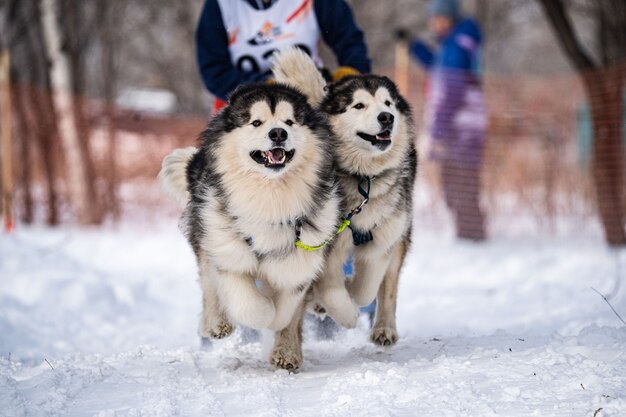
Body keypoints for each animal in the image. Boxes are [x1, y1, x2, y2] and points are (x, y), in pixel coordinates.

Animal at [158, 81, 338, 368]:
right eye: (256, 122)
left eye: (290, 121)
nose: (278, 133)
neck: (270, 195)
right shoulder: (228, 250)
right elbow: (248, 304)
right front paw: (263, 314)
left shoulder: (301, 257)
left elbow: (289, 310)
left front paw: (285, 346)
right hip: (208, 230)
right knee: (208, 281)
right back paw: (215, 323)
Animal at [272, 48, 414, 348]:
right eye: (358, 106)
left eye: (388, 103)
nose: (387, 117)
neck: (362, 177)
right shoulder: (324, 246)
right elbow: (331, 289)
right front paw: (343, 312)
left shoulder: (384, 238)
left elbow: (367, 287)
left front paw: (352, 293)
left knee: (388, 287)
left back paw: (384, 328)